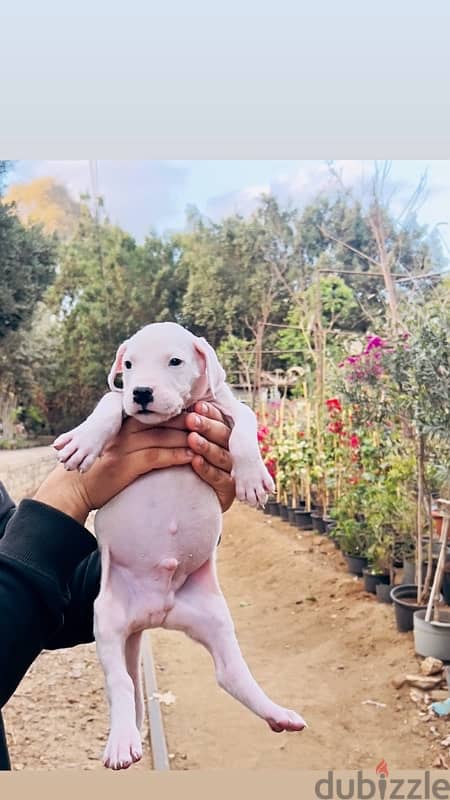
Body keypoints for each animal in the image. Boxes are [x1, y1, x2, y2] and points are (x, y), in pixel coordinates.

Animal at [53, 324, 306, 768]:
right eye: (129, 365)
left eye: (175, 361)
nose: (141, 392)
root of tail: (154, 613)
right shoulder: (121, 404)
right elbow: (110, 401)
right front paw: (85, 440)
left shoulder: (222, 406)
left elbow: (246, 420)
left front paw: (251, 476)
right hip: (107, 621)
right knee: (120, 682)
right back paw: (122, 741)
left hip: (214, 619)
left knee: (231, 674)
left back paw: (276, 713)